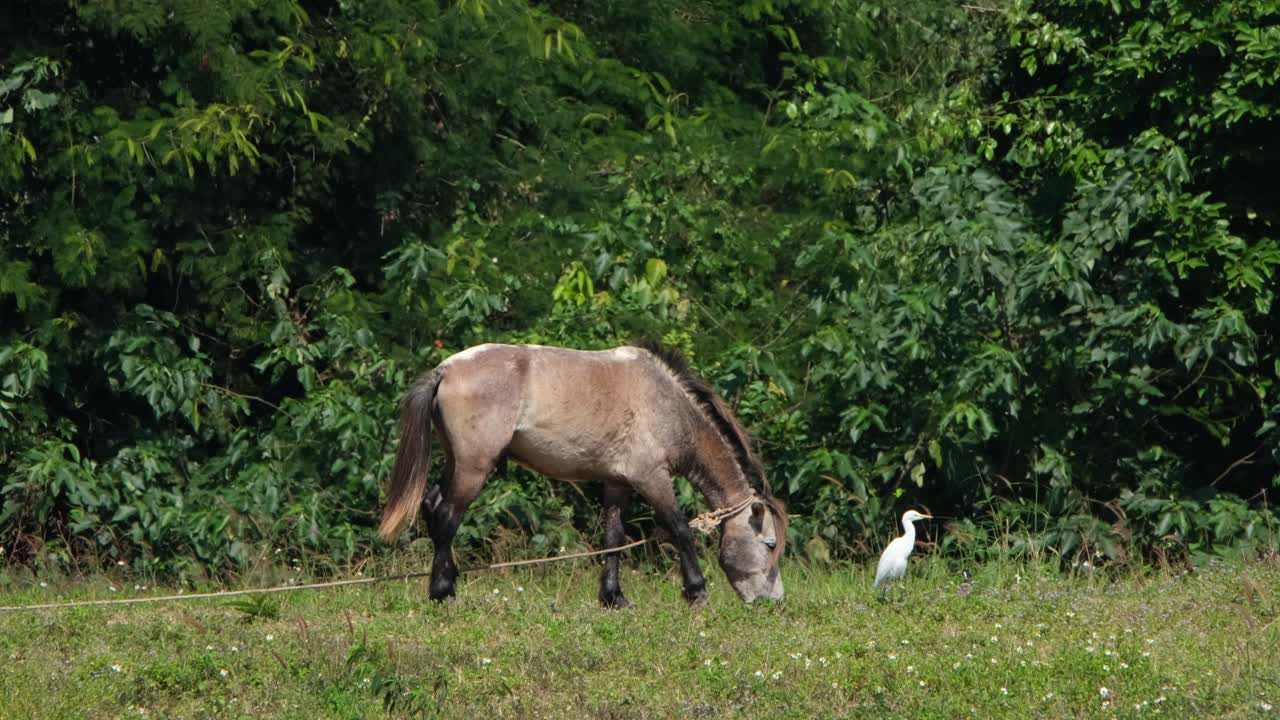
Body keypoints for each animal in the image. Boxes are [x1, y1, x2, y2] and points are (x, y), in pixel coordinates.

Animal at [378, 341, 787, 606]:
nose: (775, 601)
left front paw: (614, 597)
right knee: (447, 518)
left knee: (433, 508)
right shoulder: (652, 478)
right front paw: (696, 591)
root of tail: (445, 370)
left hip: (457, 462)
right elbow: (680, 529)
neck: (665, 402)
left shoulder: (618, 483)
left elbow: (613, 538)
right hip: (474, 468)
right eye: (770, 545)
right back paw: (443, 593)